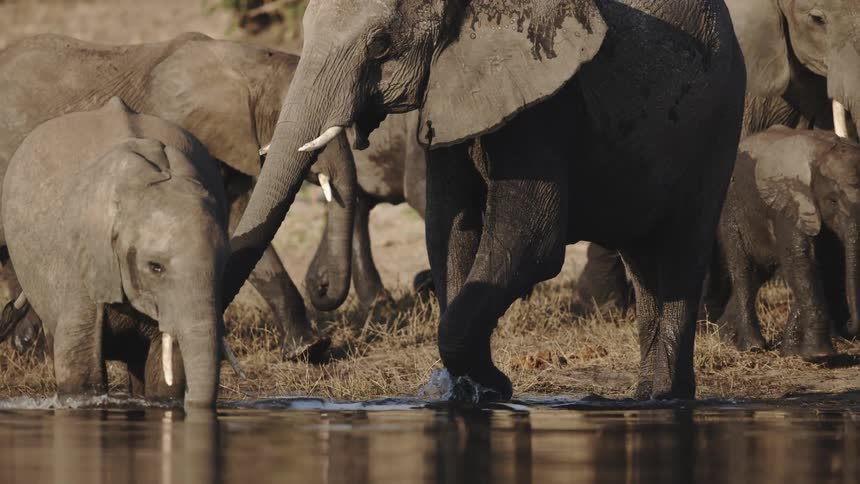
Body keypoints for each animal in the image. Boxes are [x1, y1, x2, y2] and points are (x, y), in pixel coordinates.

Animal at [221, 0, 747, 401]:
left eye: (380, 45)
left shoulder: (544, 103)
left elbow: (531, 241)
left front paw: (494, 386)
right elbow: (450, 229)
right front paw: (473, 392)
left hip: (719, 121)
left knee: (680, 252)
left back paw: (668, 399)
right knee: (643, 261)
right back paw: (644, 397)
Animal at [710, 126, 860, 358]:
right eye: (832, 201)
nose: (848, 326)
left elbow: (824, 264)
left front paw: (792, 353)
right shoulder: (790, 201)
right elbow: (801, 259)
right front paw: (818, 356)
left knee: (759, 274)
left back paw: (723, 338)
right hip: (731, 206)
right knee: (744, 270)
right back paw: (751, 347)